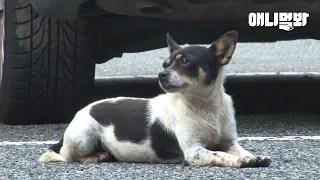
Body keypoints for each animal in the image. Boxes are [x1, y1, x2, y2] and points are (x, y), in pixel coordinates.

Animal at [39, 30, 270, 167]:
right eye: (165, 64)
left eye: (185, 62)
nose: (161, 75)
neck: (204, 106)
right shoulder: (193, 151)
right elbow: (220, 155)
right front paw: (240, 161)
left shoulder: (229, 142)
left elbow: (239, 150)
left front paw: (251, 156)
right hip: (83, 137)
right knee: (63, 155)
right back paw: (94, 155)